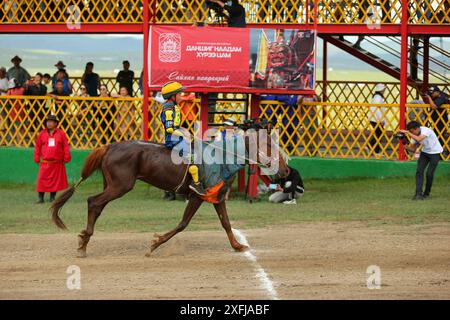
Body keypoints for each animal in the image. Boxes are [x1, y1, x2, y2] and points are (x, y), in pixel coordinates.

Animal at [50, 136, 288, 256]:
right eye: (270, 148)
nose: (285, 171)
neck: (221, 158)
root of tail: (110, 146)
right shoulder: (197, 196)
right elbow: (183, 224)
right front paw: (156, 243)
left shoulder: (217, 197)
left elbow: (226, 224)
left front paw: (238, 246)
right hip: (120, 186)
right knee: (93, 202)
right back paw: (83, 243)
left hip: (113, 185)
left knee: (97, 205)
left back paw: (84, 241)